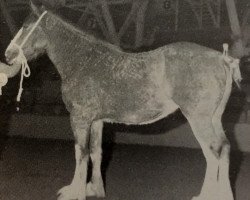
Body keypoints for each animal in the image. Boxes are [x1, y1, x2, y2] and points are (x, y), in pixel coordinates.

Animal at [3, 0, 241, 199]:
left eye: (26, 26)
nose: (8, 55)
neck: (84, 60)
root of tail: (221, 58)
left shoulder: (80, 119)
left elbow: (80, 153)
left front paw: (74, 192)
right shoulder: (97, 121)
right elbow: (95, 153)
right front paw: (94, 189)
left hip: (198, 119)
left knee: (213, 152)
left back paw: (206, 195)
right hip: (214, 118)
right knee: (225, 149)